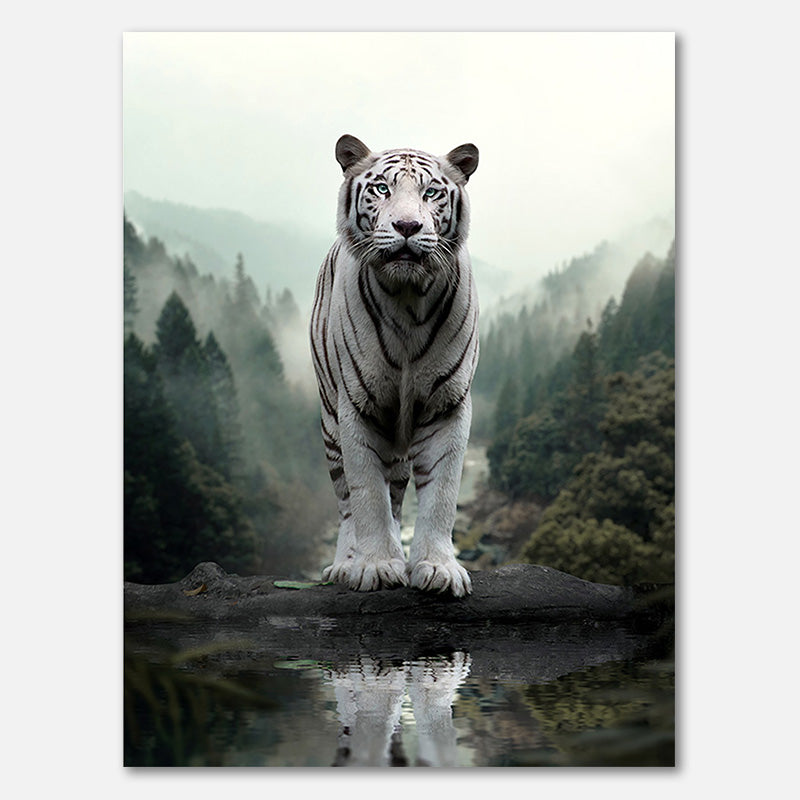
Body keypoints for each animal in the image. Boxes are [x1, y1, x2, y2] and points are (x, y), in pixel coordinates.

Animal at [309, 134, 480, 597]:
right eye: (382, 188)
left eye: (431, 192)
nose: (407, 227)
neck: (407, 298)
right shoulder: (357, 407)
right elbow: (367, 495)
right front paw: (377, 566)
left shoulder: (447, 405)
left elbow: (441, 493)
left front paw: (438, 568)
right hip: (330, 424)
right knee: (347, 502)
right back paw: (344, 565)